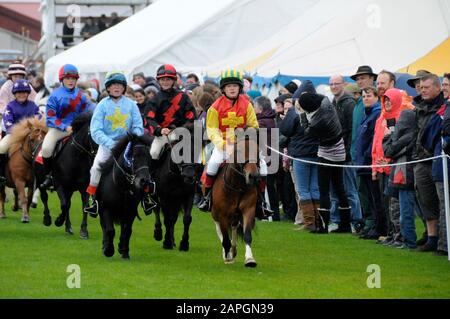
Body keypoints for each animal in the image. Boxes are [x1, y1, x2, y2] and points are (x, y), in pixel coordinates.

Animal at [52, 111, 97, 239]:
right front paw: (58, 221)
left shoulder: (84, 188)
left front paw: (84, 231)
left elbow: (85, 206)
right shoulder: (60, 186)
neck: (76, 159)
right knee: (67, 204)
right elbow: (64, 205)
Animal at [208, 129, 260, 268]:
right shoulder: (222, 214)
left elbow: (247, 235)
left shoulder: (248, 209)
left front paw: (250, 259)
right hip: (215, 212)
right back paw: (228, 253)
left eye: (257, 151)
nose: (253, 176)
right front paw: (228, 256)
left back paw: (234, 249)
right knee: (219, 228)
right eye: (240, 151)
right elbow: (225, 238)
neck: (237, 186)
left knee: (234, 226)